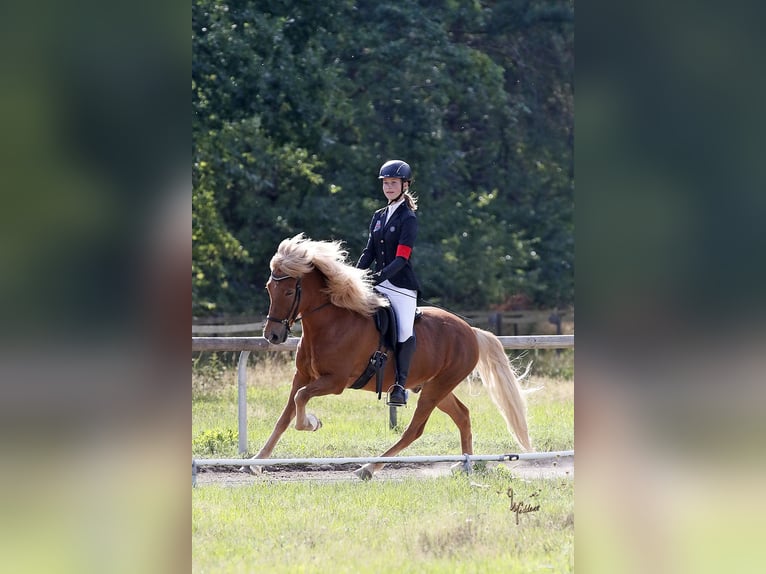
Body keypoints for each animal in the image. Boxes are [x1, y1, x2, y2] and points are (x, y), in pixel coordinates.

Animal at [250, 233, 531, 480]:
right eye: (269, 288)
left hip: (437, 388)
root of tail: (471, 331)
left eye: (289, 292)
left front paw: (312, 422)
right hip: (434, 387)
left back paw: (367, 469)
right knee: (462, 415)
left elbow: (300, 399)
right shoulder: (302, 376)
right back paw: (464, 466)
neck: (331, 323)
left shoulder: (335, 382)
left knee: (415, 430)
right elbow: (285, 415)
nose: (273, 335)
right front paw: (257, 461)